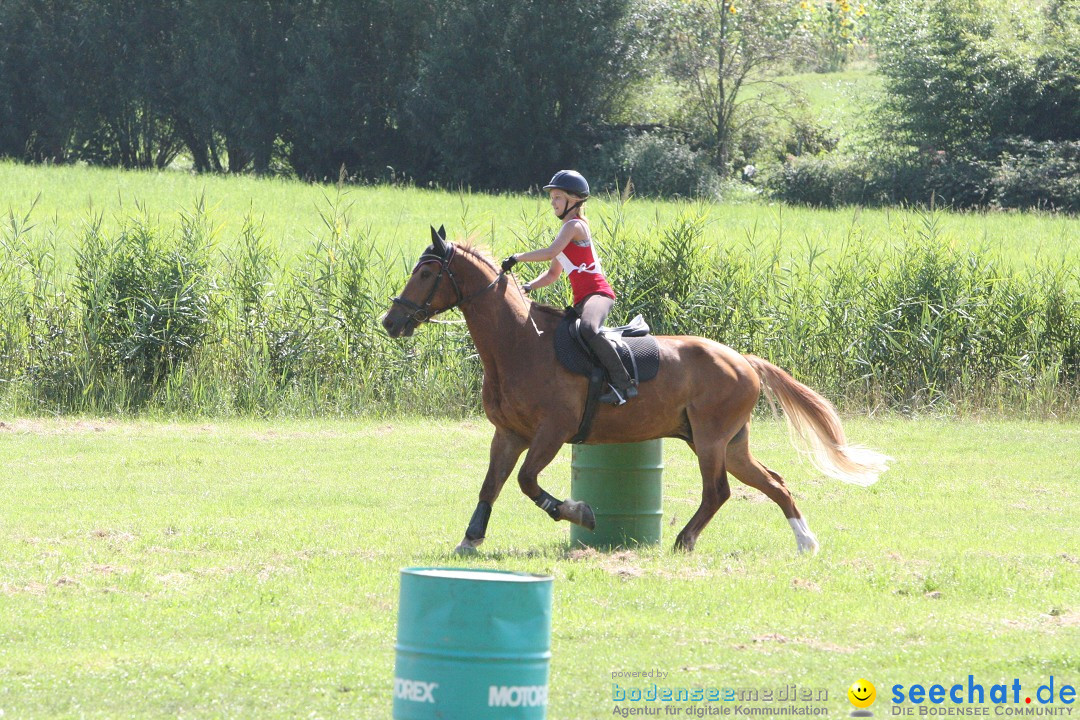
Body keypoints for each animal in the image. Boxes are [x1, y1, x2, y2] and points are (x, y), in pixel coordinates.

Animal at [384, 227, 889, 557]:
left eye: (426, 273)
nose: (391, 321)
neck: (518, 343)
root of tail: (745, 360)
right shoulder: (508, 434)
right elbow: (491, 485)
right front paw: (469, 540)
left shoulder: (551, 432)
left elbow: (527, 483)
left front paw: (580, 513)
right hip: (729, 444)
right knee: (774, 483)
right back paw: (805, 542)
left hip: (711, 440)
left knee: (717, 491)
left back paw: (685, 541)